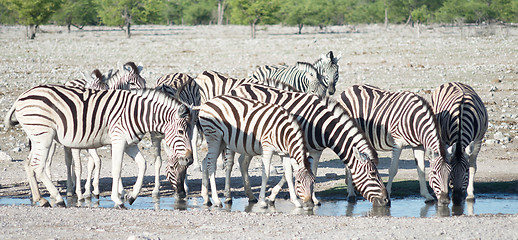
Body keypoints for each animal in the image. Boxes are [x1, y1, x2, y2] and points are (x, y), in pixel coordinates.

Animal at [4, 85, 193, 208]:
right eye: (181, 131)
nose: (190, 159)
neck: (137, 114)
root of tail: (21, 96)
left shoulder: (129, 143)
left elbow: (142, 164)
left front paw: (131, 196)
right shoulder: (118, 140)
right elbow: (117, 169)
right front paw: (118, 200)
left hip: (37, 137)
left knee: (28, 163)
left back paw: (40, 199)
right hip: (44, 136)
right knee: (39, 165)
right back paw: (57, 198)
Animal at [230, 82, 392, 206]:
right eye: (372, 174)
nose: (387, 201)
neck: (323, 126)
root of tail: (239, 87)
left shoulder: (315, 150)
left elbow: (311, 171)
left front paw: (312, 199)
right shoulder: (298, 146)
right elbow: (294, 172)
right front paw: (274, 195)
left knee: (243, 161)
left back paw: (251, 196)